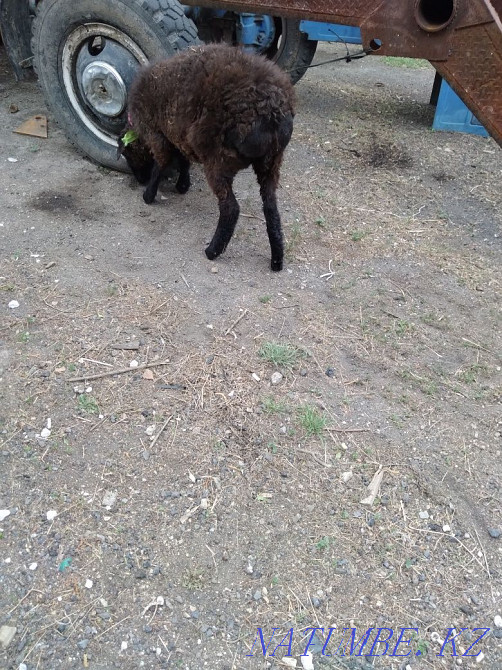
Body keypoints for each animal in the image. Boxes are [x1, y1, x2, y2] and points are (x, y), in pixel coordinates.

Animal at [118, 43, 295, 271]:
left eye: (127, 153)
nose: (139, 180)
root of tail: (271, 110)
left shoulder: (157, 134)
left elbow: (161, 164)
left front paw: (148, 195)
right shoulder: (179, 136)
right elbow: (183, 161)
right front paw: (182, 185)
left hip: (219, 160)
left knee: (231, 208)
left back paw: (213, 251)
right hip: (271, 162)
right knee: (271, 207)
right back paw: (277, 259)